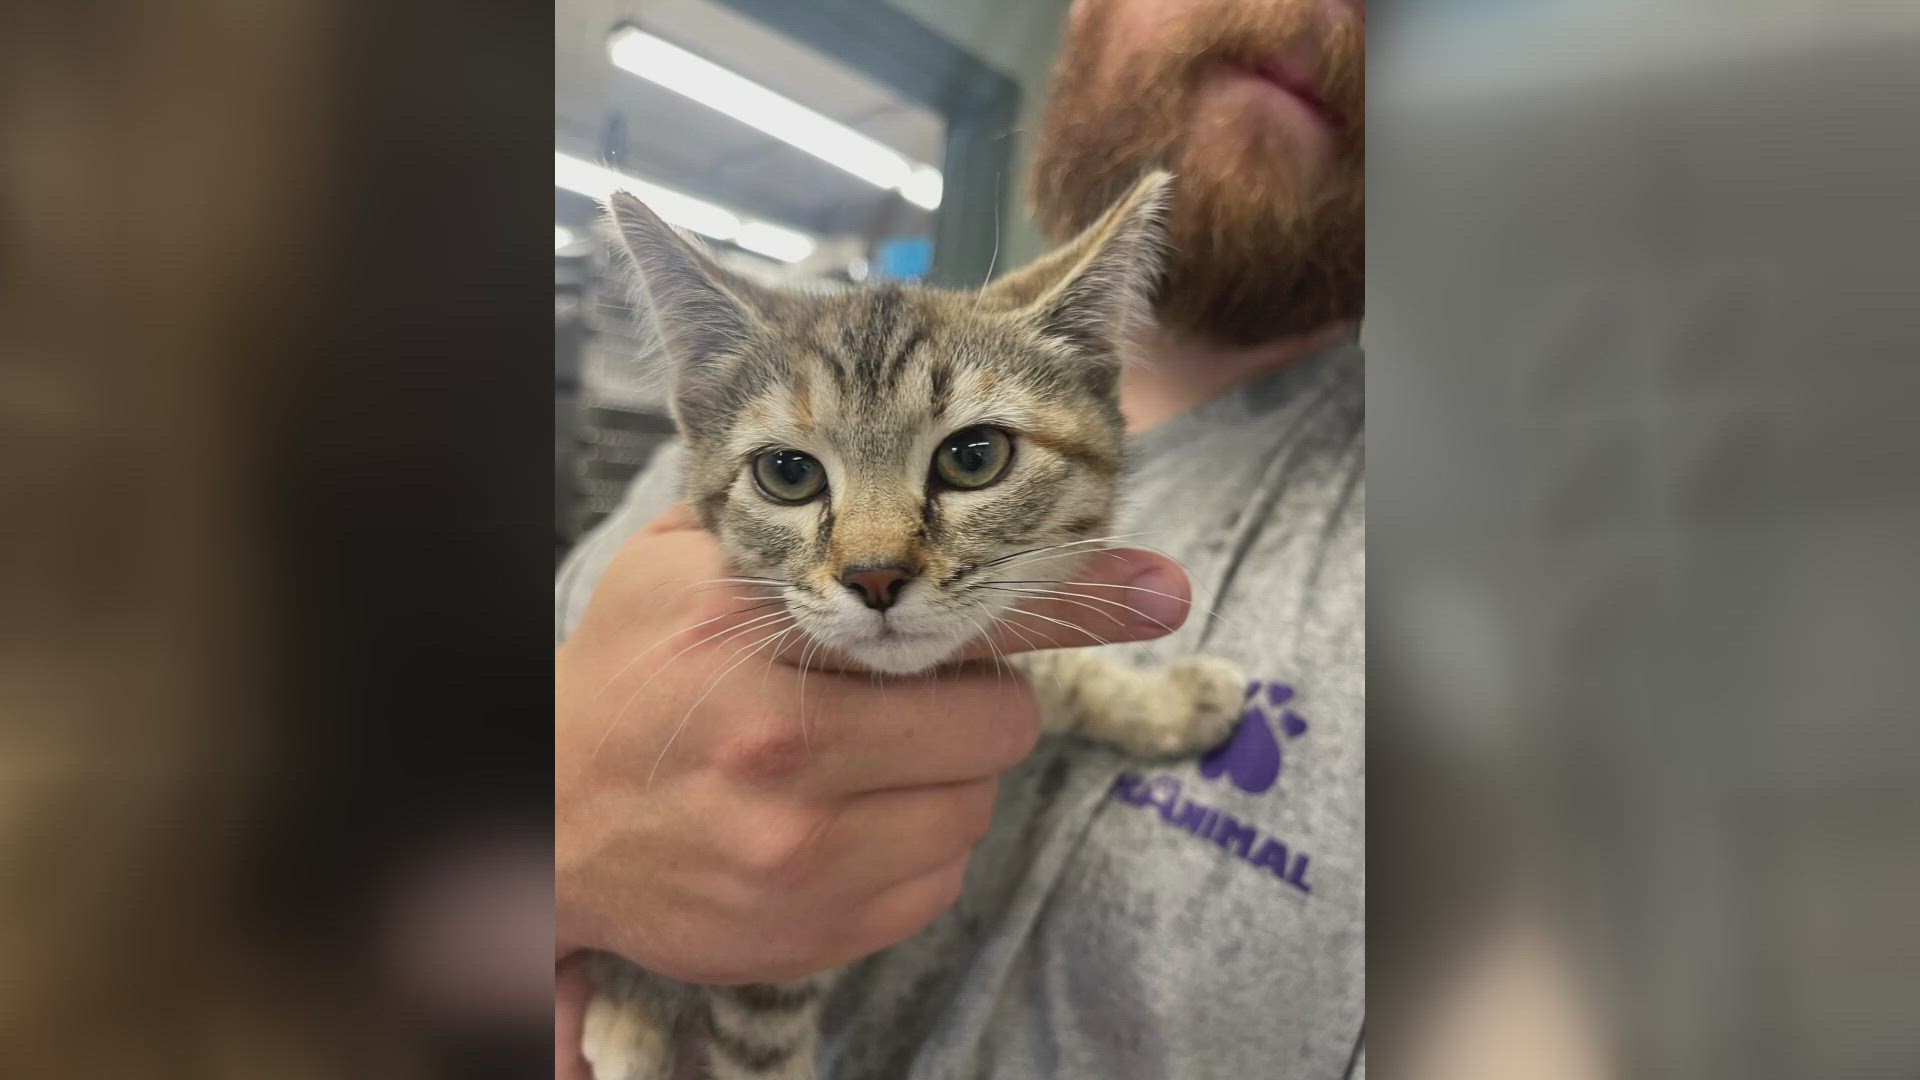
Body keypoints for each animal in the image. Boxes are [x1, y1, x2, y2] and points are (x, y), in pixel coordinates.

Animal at [583, 170, 1244, 1076]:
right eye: (787, 473)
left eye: (974, 457)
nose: (876, 574)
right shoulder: (772, 948)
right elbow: (765, 1055)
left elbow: (1067, 673)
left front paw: (1174, 701)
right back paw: (628, 1019)